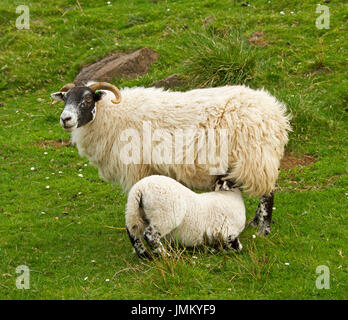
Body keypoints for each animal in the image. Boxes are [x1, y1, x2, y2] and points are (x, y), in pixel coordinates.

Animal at [51, 80, 290, 235]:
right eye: (65, 99)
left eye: (87, 99)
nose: (65, 119)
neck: (112, 115)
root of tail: (275, 112)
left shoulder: (138, 168)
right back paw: (254, 223)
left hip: (256, 156)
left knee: (267, 193)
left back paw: (263, 229)